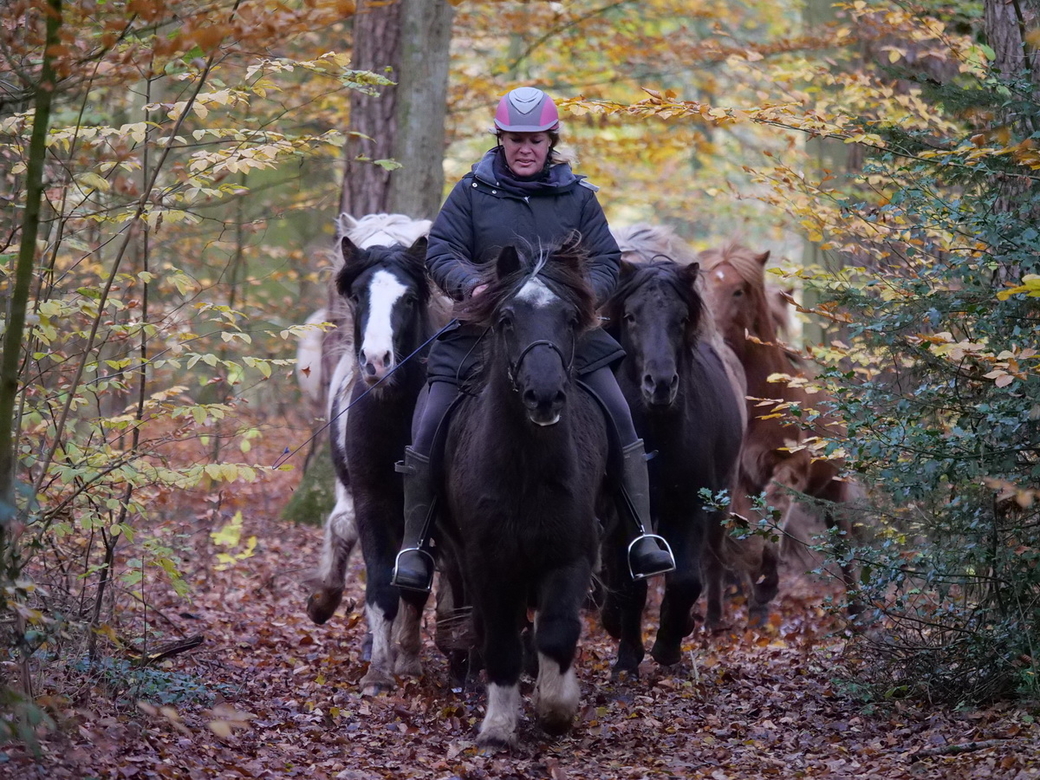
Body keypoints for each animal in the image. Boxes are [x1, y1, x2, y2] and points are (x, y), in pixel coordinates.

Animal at [703, 241, 865, 615]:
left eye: (738, 290)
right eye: (704, 287)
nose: (712, 333)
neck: (763, 399)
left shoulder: (791, 465)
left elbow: (774, 509)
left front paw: (767, 578)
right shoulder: (740, 477)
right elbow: (746, 523)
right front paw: (758, 580)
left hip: (833, 490)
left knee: (844, 547)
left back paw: (857, 612)